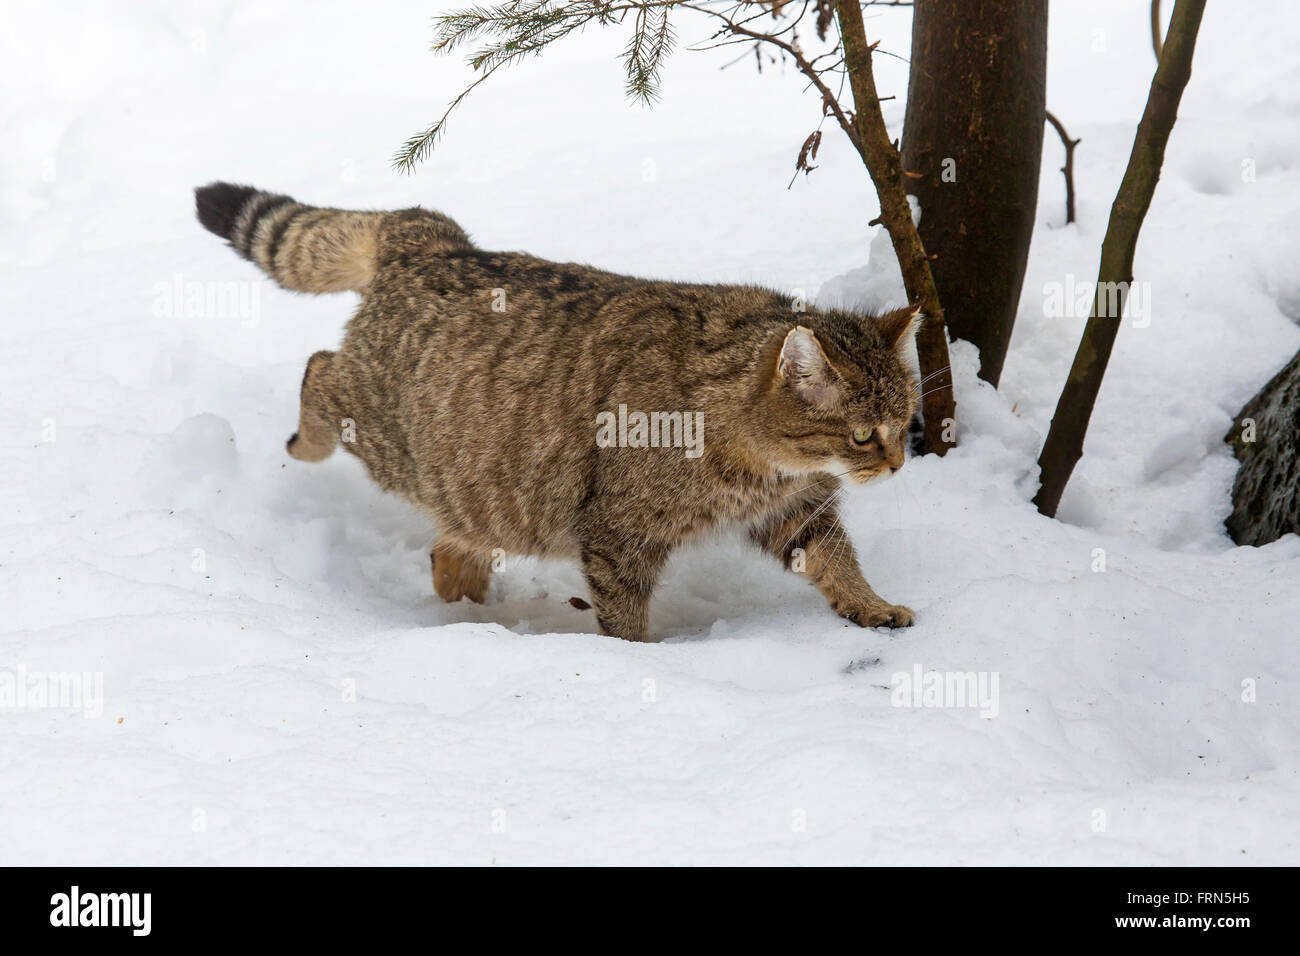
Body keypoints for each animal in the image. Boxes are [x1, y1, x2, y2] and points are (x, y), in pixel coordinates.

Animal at [197, 180, 920, 642]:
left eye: (906, 419)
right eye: (863, 435)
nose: (898, 464)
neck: (765, 460)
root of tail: (433, 242)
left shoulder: (797, 511)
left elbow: (835, 559)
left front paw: (871, 604)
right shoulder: (620, 533)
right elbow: (625, 616)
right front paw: (641, 661)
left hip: (471, 483)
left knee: (456, 536)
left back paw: (461, 584)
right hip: (382, 434)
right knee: (320, 368)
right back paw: (307, 440)